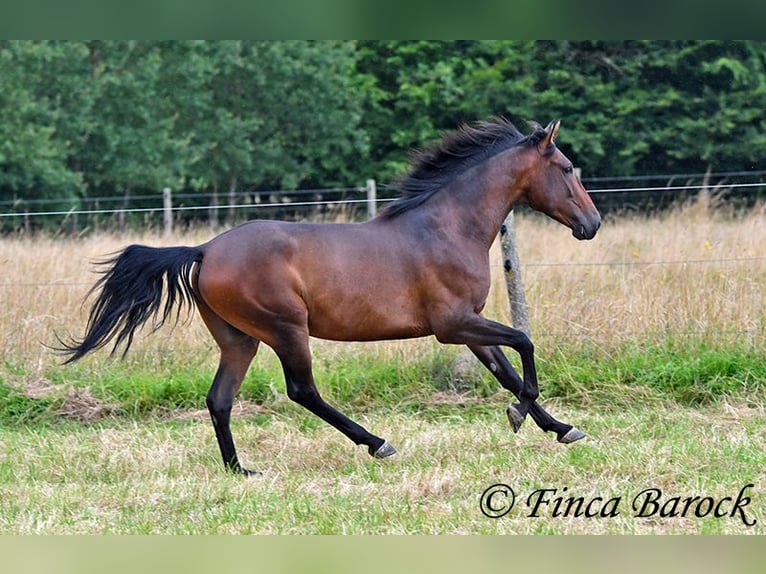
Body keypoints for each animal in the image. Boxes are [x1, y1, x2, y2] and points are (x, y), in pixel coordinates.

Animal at [57, 118, 604, 476]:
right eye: (568, 168)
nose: (592, 224)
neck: (446, 228)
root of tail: (205, 250)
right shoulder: (453, 325)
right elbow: (525, 346)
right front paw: (520, 416)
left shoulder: (468, 325)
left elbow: (507, 369)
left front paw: (561, 428)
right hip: (285, 329)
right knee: (303, 391)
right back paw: (377, 443)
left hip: (239, 341)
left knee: (220, 398)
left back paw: (240, 471)